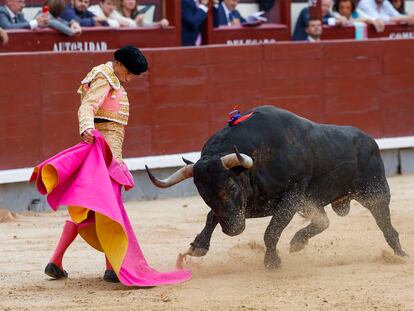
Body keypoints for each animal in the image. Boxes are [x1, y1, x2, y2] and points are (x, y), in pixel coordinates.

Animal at [145, 106, 408, 270]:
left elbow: (271, 232)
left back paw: (400, 255)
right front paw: (197, 246)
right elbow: (212, 216)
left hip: (375, 193)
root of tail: (369, 140)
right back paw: (298, 242)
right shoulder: (247, 207)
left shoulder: (290, 197)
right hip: (315, 201)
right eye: (203, 195)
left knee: (387, 226)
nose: (233, 230)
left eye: (231, 187)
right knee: (323, 221)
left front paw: (272, 263)